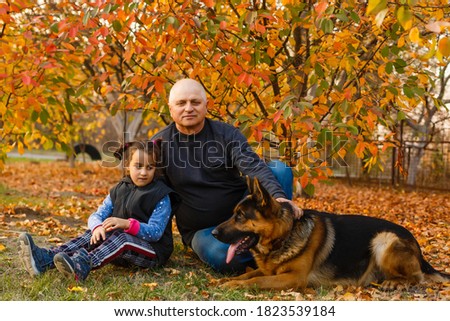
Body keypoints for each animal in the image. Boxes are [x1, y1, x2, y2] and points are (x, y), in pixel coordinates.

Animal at [212, 176, 450, 288]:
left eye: (240, 216)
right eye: (234, 214)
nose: (213, 233)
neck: (285, 235)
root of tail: (418, 249)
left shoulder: (294, 278)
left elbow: (256, 281)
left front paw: (234, 284)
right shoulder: (270, 271)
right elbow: (249, 273)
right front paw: (227, 281)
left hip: (383, 240)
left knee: (417, 277)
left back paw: (396, 282)